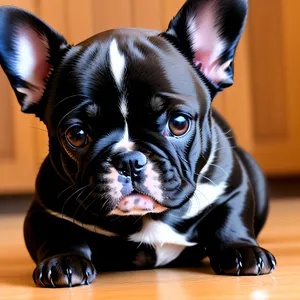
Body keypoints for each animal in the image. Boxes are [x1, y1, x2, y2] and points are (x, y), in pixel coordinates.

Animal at [0, 0, 276, 288]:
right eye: (76, 134)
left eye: (179, 123)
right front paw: (63, 260)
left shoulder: (232, 187)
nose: (129, 160)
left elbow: (230, 220)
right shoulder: (45, 209)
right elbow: (57, 233)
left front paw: (241, 249)